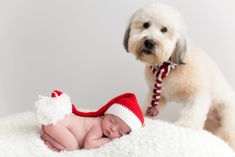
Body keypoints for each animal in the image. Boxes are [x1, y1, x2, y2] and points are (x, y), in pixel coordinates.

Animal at [123, 2, 235, 150]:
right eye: (145, 25)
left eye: (164, 30)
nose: (149, 42)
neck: (168, 65)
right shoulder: (157, 94)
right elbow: (148, 106)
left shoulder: (198, 93)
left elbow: (192, 112)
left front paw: (185, 126)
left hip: (228, 117)